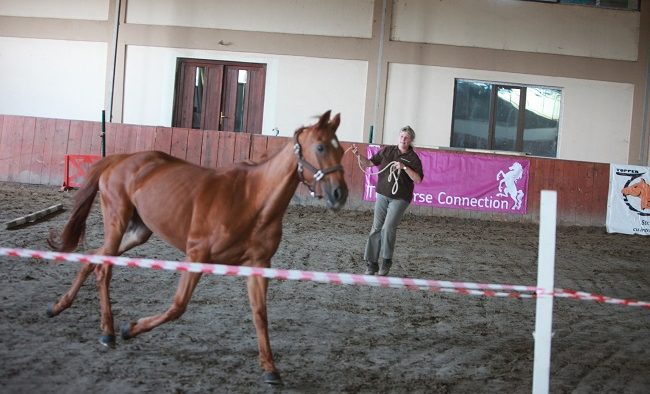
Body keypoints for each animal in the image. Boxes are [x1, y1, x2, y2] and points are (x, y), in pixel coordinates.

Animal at [46, 109, 346, 384]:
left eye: (341, 149)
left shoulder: (259, 265)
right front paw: (130, 328)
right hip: (117, 223)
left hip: (138, 232)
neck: (251, 200)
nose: (339, 194)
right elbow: (178, 306)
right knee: (104, 269)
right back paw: (108, 332)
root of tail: (120, 159)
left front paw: (270, 370)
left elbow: (260, 315)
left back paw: (59, 306)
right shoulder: (196, 255)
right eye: (320, 147)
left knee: (93, 257)